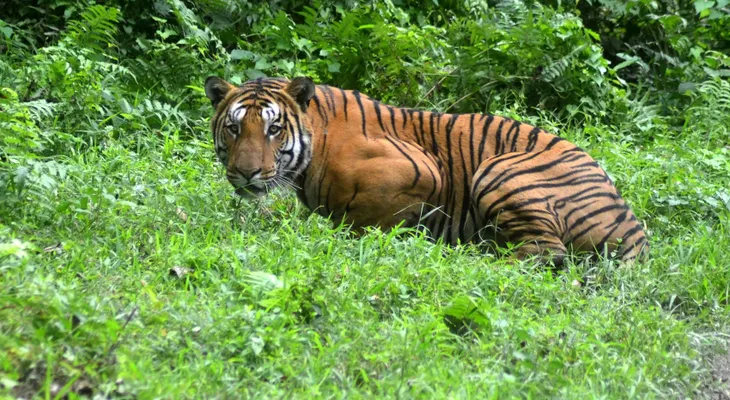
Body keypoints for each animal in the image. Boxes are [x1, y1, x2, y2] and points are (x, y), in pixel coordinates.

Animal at [204, 76, 649, 265]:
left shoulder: (421, 170)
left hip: (499, 169)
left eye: (274, 129)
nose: (246, 173)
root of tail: (634, 228)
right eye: (234, 127)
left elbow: (364, 221)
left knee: (545, 253)